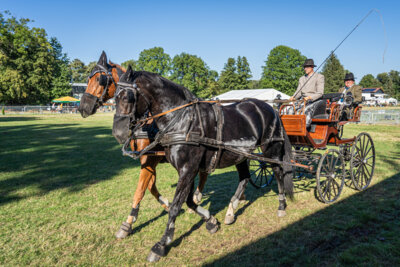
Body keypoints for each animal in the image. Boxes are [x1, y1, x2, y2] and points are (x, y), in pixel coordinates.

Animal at [112, 66, 294, 262]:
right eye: (114, 96)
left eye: (127, 97)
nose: (118, 133)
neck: (182, 120)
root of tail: (271, 108)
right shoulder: (187, 170)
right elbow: (188, 201)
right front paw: (211, 220)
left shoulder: (187, 169)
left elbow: (176, 205)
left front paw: (161, 244)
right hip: (241, 155)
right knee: (245, 178)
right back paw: (231, 211)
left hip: (271, 150)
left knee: (278, 172)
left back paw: (281, 205)